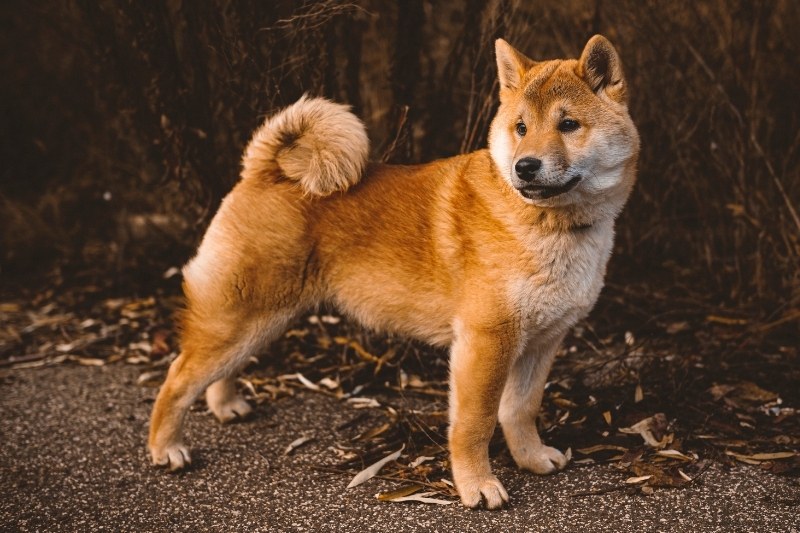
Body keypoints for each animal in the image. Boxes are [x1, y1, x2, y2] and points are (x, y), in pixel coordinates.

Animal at [148, 35, 636, 510]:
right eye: (521, 128)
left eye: (568, 124)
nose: (525, 166)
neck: (550, 226)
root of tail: (265, 170)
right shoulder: (485, 341)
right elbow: (475, 423)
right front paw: (477, 486)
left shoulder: (541, 341)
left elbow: (521, 409)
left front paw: (531, 458)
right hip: (241, 317)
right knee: (178, 377)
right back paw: (165, 447)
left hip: (263, 321)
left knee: (219, 370)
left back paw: (226, 405)